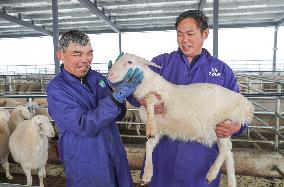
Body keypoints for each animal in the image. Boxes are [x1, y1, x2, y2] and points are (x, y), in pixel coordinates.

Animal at [109, 53, 255, 187]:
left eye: (130, 62)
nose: (110, 75)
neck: (148, 83)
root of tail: (246, 104)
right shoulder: (159, 127)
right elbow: (149, 146)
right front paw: (147, 174)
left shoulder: (160, 98)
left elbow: (150, 99)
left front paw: (149, 127)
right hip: (220, 130)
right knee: (229, 154)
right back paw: (231, 181)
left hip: (225, 123)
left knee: (226, 149)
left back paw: (211, 173)